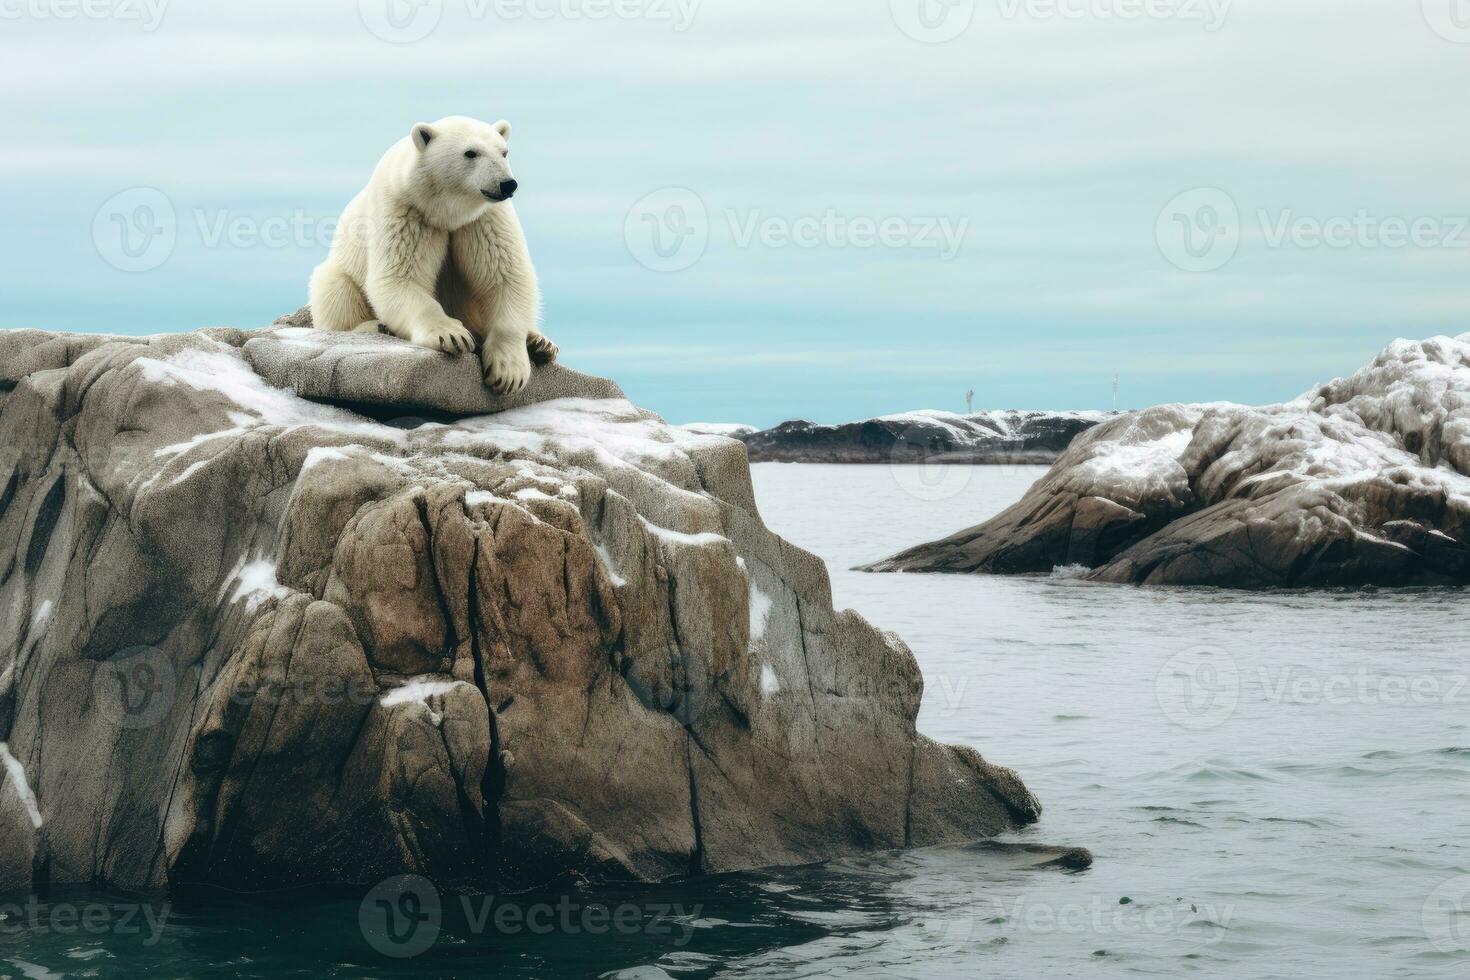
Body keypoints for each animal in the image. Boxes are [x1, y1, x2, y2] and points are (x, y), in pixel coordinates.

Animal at [308, 115, 555, 390]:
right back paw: (375, 326)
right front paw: (451, 335)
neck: (444, 211)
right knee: (334, 291)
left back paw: (540, 343)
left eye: (504, 152)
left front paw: (508, 370)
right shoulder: (404, 209)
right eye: (471, 153)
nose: (507, 184)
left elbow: (505, 276)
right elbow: (398, 278)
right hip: (339, 271)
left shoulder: (484, 218)